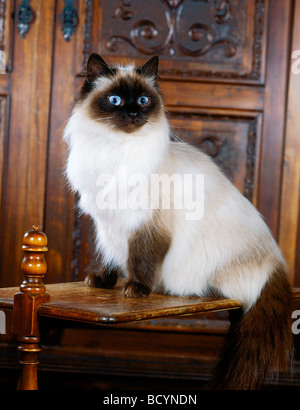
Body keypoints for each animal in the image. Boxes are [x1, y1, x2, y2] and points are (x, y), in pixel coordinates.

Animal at [63, 52, 292, 390]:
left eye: (143, 100)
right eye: (116, 100)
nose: (133, 113)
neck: (115, 151)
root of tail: (278, 266)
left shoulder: (147, 225)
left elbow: (140, 259)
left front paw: (135, 289)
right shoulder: (108, 224)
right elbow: (111, 257)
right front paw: (103, 281)